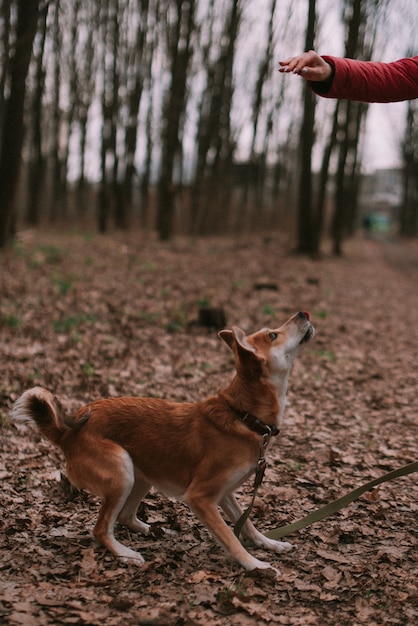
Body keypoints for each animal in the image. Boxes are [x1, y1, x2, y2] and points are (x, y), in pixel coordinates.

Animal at [11, 310, 314, 572]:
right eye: (273, 335)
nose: (304, 313)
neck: (245, 415)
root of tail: (67, 431)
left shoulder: (225, 493)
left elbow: (247, 523)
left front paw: (269, 543)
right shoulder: (201, 497)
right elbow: (230, 536)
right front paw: (255, 565)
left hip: (141, 474)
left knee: (124, 516)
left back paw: (152, 530)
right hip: (121, 469)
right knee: (100, 529)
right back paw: (125, 553)